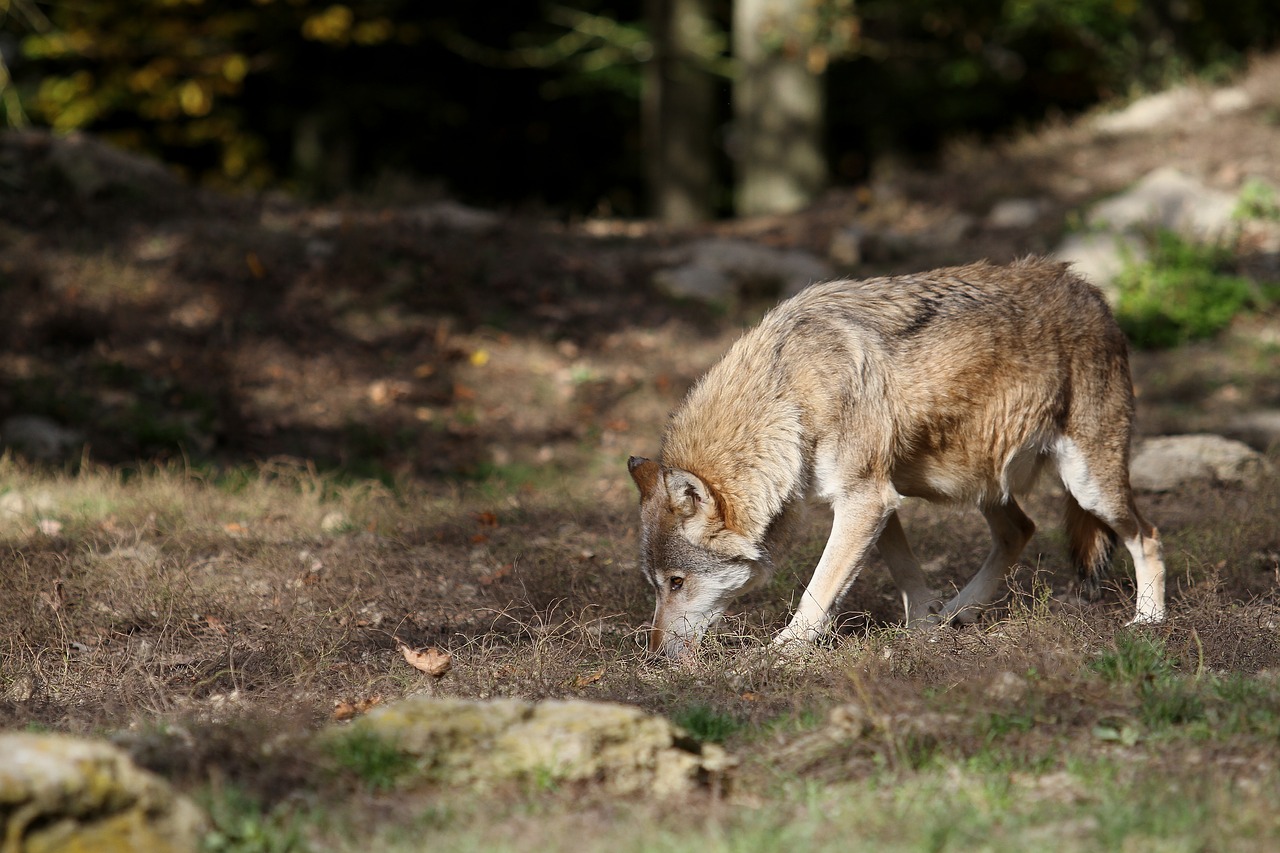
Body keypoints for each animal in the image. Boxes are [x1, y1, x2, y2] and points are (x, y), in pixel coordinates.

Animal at [629, 257, 1172, 655]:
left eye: (676, 582)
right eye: (655, 585)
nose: (652, 653)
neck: (789, 394)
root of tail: (1093, 292)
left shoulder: (865, 500)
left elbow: (818, 591)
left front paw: (781, 652)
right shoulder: (873, 500)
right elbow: (907, 573)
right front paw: (923, 629)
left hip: (1088, 485)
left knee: (1147, 534)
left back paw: (1148, 620)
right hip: (979, 482)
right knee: (1021, 530)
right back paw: (958, 614)